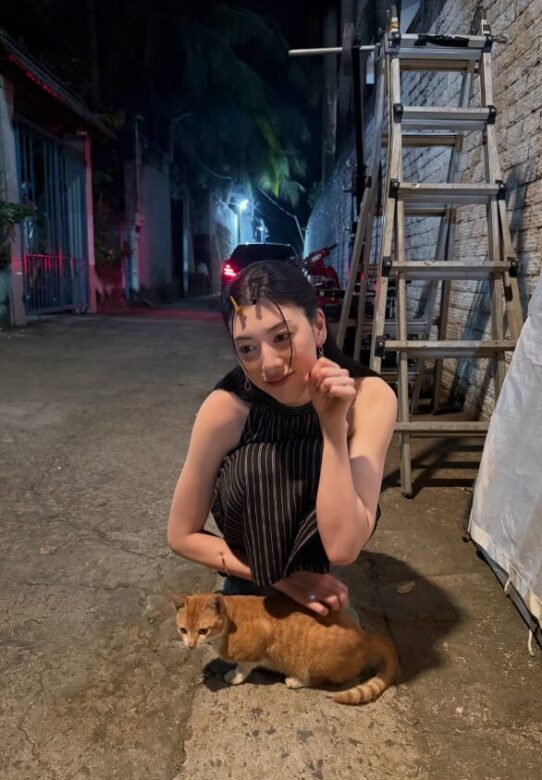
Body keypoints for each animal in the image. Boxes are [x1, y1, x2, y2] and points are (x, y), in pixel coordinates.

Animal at [173, 591, 398, 705]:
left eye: (203, 630)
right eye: (183, 630)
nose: (190, 645)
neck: (230, 622)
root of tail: (366, 636)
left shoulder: (258, 644)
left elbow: (244, 667)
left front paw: (235, 676)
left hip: (315, 663)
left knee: (319, 678)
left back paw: (295, 680)